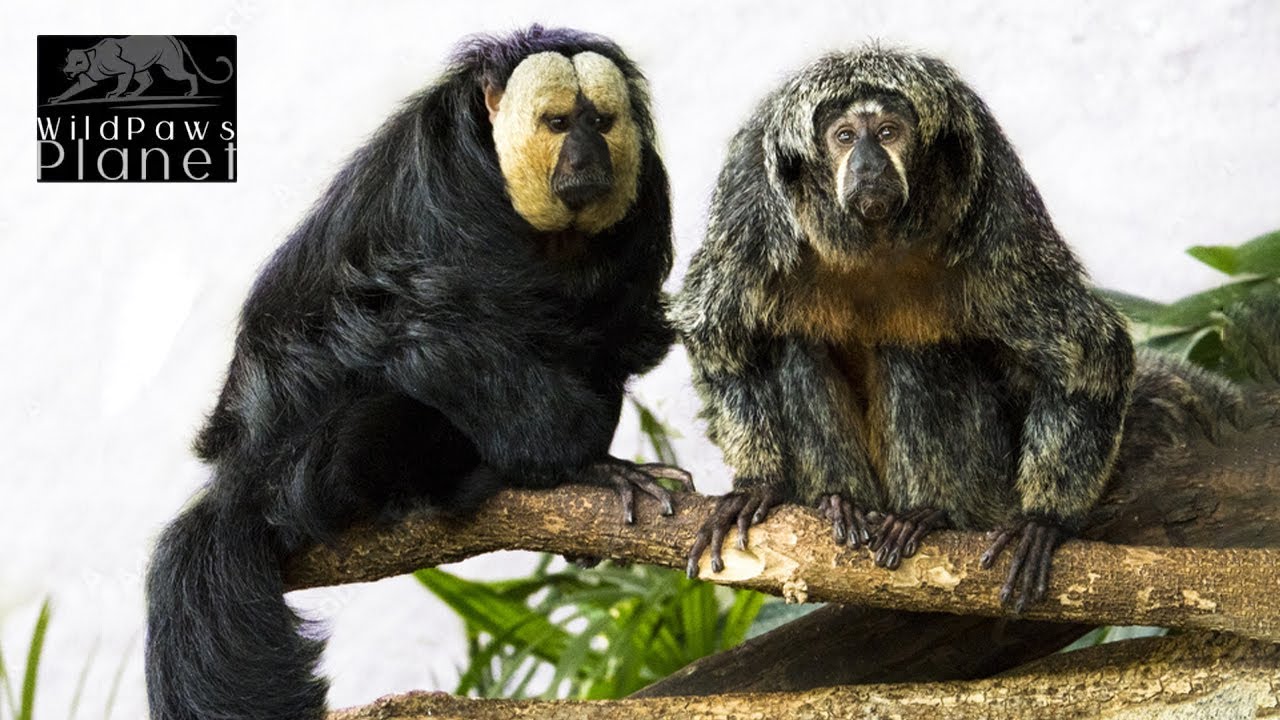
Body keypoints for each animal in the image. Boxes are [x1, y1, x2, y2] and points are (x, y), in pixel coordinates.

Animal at [144, 26, 690, 720]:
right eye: (559, 122)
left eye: (600, 122)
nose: (586, 156)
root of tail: (243, 480)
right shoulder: (444, 188)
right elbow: (425, 333)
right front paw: (584, 466)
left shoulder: (642, 205)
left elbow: (609, 334)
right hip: (305, 477)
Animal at [675, 45, 1246, 612]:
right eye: (844, 137)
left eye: (888, 132)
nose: (868, 165)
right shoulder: (751, 204)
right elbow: (718, 339)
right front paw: (757, 484)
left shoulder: (997, 212)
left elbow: (1090, 354)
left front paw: (1045, 520)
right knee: (795, 346)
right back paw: (842, 501)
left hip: (990, 487)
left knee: (917, 353)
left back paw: (925, 514)